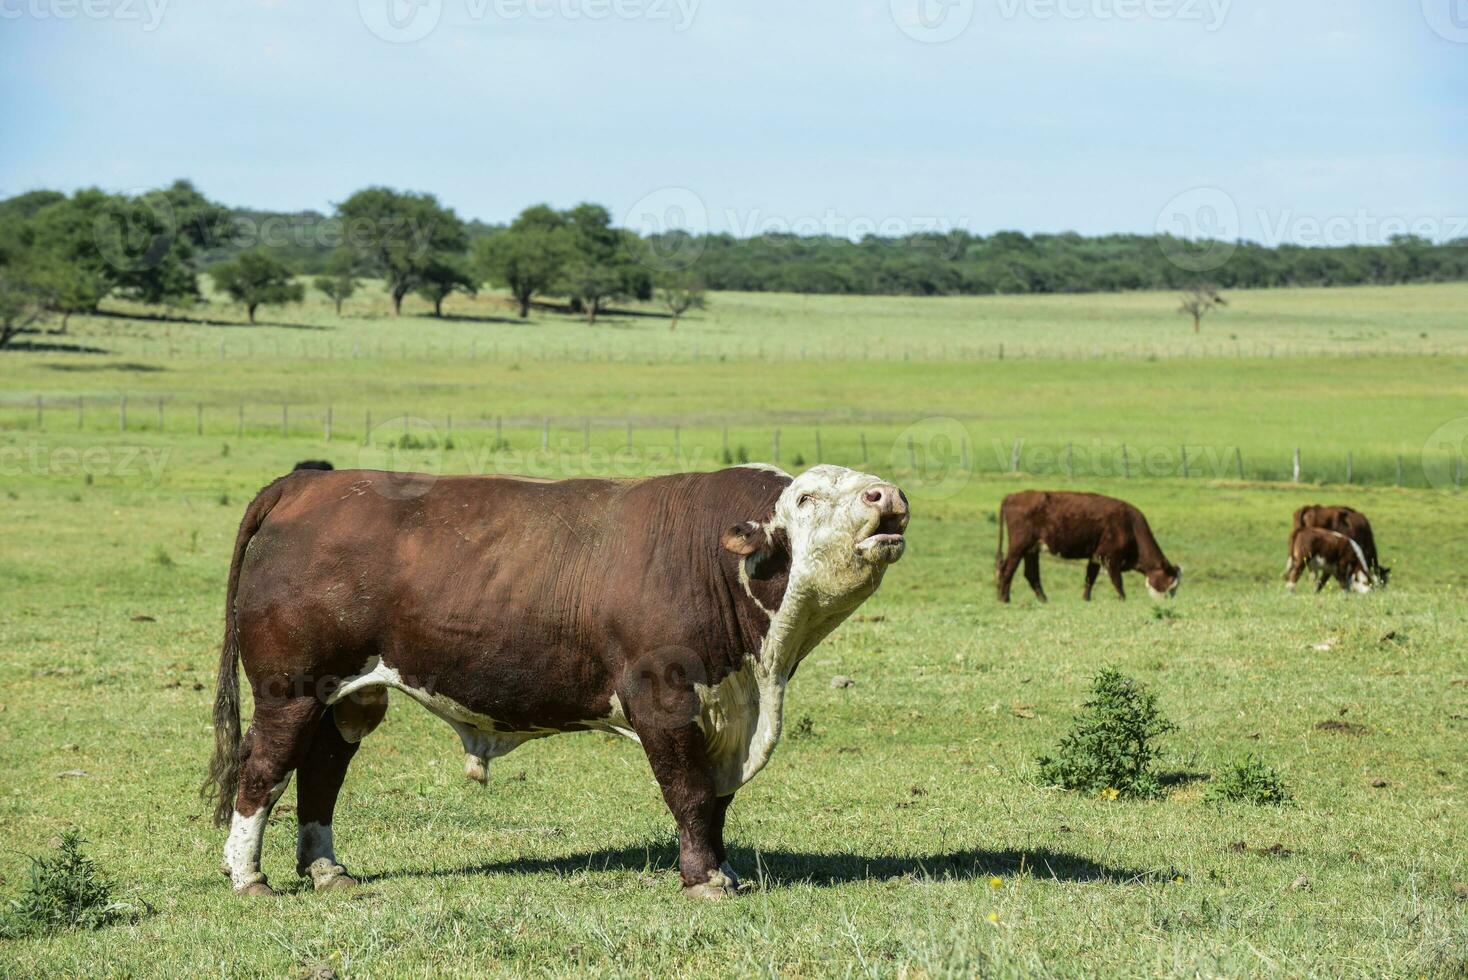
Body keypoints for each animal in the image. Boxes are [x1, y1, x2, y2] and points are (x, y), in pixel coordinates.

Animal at [198, 463, 904, 897]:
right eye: (807, 498)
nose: (888, 496)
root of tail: (308, 484)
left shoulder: (724, 713)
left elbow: (716, 801)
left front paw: (722, 868)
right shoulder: (662, 698)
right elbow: (691, 792)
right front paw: (704, 880)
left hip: (350, 695)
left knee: (321, 770)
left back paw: (326, 870)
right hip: (291, 687)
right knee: (263, 769)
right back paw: (248, 877)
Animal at [998, 492, 1180, 601]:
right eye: (1170, 584)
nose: (1169, 601)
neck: (1131, 525)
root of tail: (1012, 496)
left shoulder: (1096, 556)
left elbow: (1089, 579)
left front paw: (1086, 599)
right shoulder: (1110, 557)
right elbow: (1117, 581)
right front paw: (1123, 599)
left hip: (1031, 549)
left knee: (1031, 574)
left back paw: (1044, 600)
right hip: (1018, 547)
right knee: (1007, 569)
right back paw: (1004, 599)